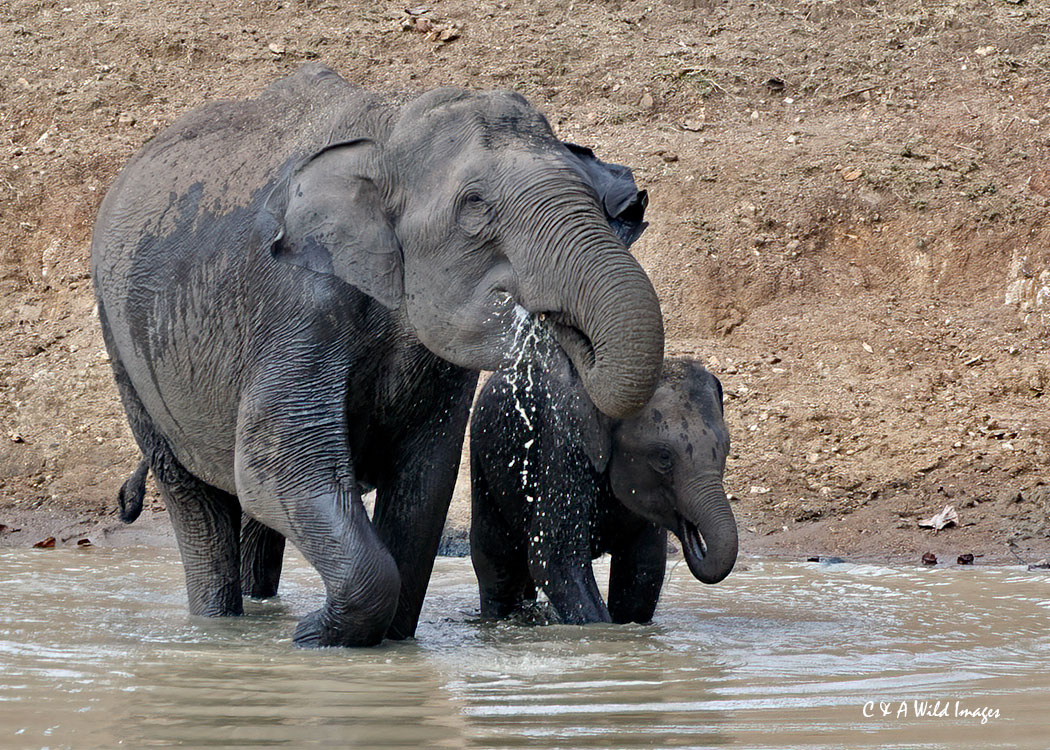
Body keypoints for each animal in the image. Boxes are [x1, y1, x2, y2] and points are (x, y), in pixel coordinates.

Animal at [91, 63, 664, 647]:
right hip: (123, 342)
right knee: (194, 497)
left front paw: (383, 642)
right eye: (475, 205)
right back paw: (220, 625)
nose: (565, 329)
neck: (392, 130)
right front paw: (312, 636)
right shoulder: (295, 302)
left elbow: (423, 487)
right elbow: (276, 470)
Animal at [469, 348, 736, 625]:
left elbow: (643, 569)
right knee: (497, 562)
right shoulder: (564, 445)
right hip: (482, 457)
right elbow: (554, 558)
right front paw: (601, 629)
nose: (694, 538)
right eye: (664, 457)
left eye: (726, 448)